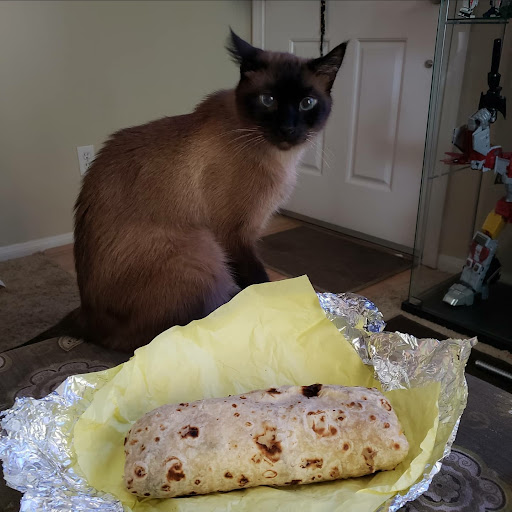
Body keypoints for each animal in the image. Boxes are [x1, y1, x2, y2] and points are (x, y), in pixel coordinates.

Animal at [35, 31, 347, 352]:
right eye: (268, 100)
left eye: (307, 103)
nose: (287, 129)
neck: (278, 157)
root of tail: (85, 314)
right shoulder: (235, 236)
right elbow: (258, 282)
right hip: (202, 251)